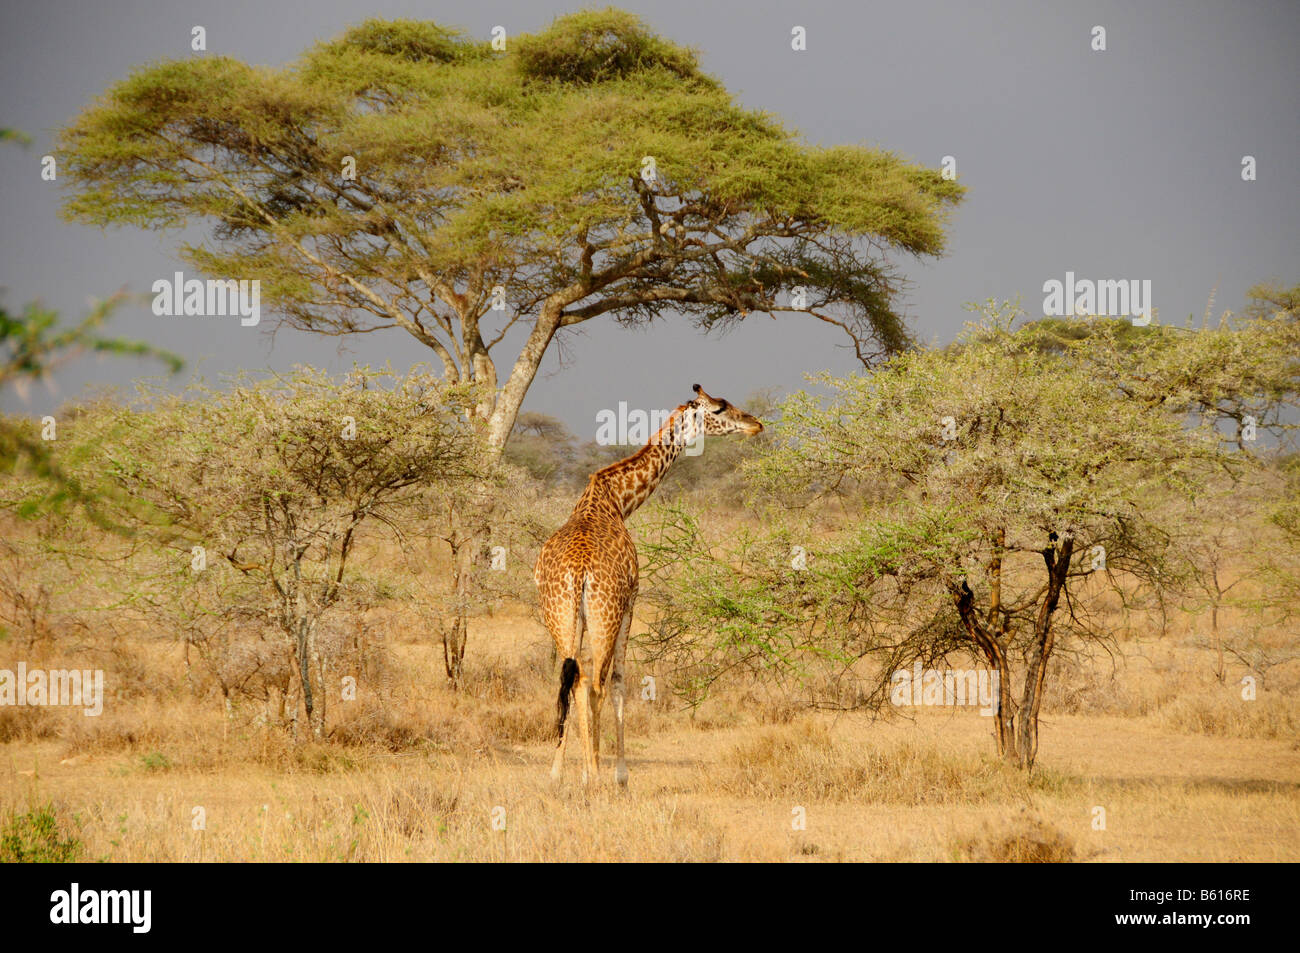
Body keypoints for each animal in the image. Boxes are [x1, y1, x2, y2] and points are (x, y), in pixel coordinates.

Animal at [535, 382, 764, 785]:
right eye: (719, 409)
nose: (756, 424)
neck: (616, 499)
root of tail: (578, 573)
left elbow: (574, 681)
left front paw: (561, 773)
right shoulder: (631, 603)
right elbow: (620, 681)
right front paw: (619, 775)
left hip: (559, 616)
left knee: (572, 679)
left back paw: (571, 774)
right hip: (605, 615)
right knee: (595, 683)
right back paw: (595, 776)